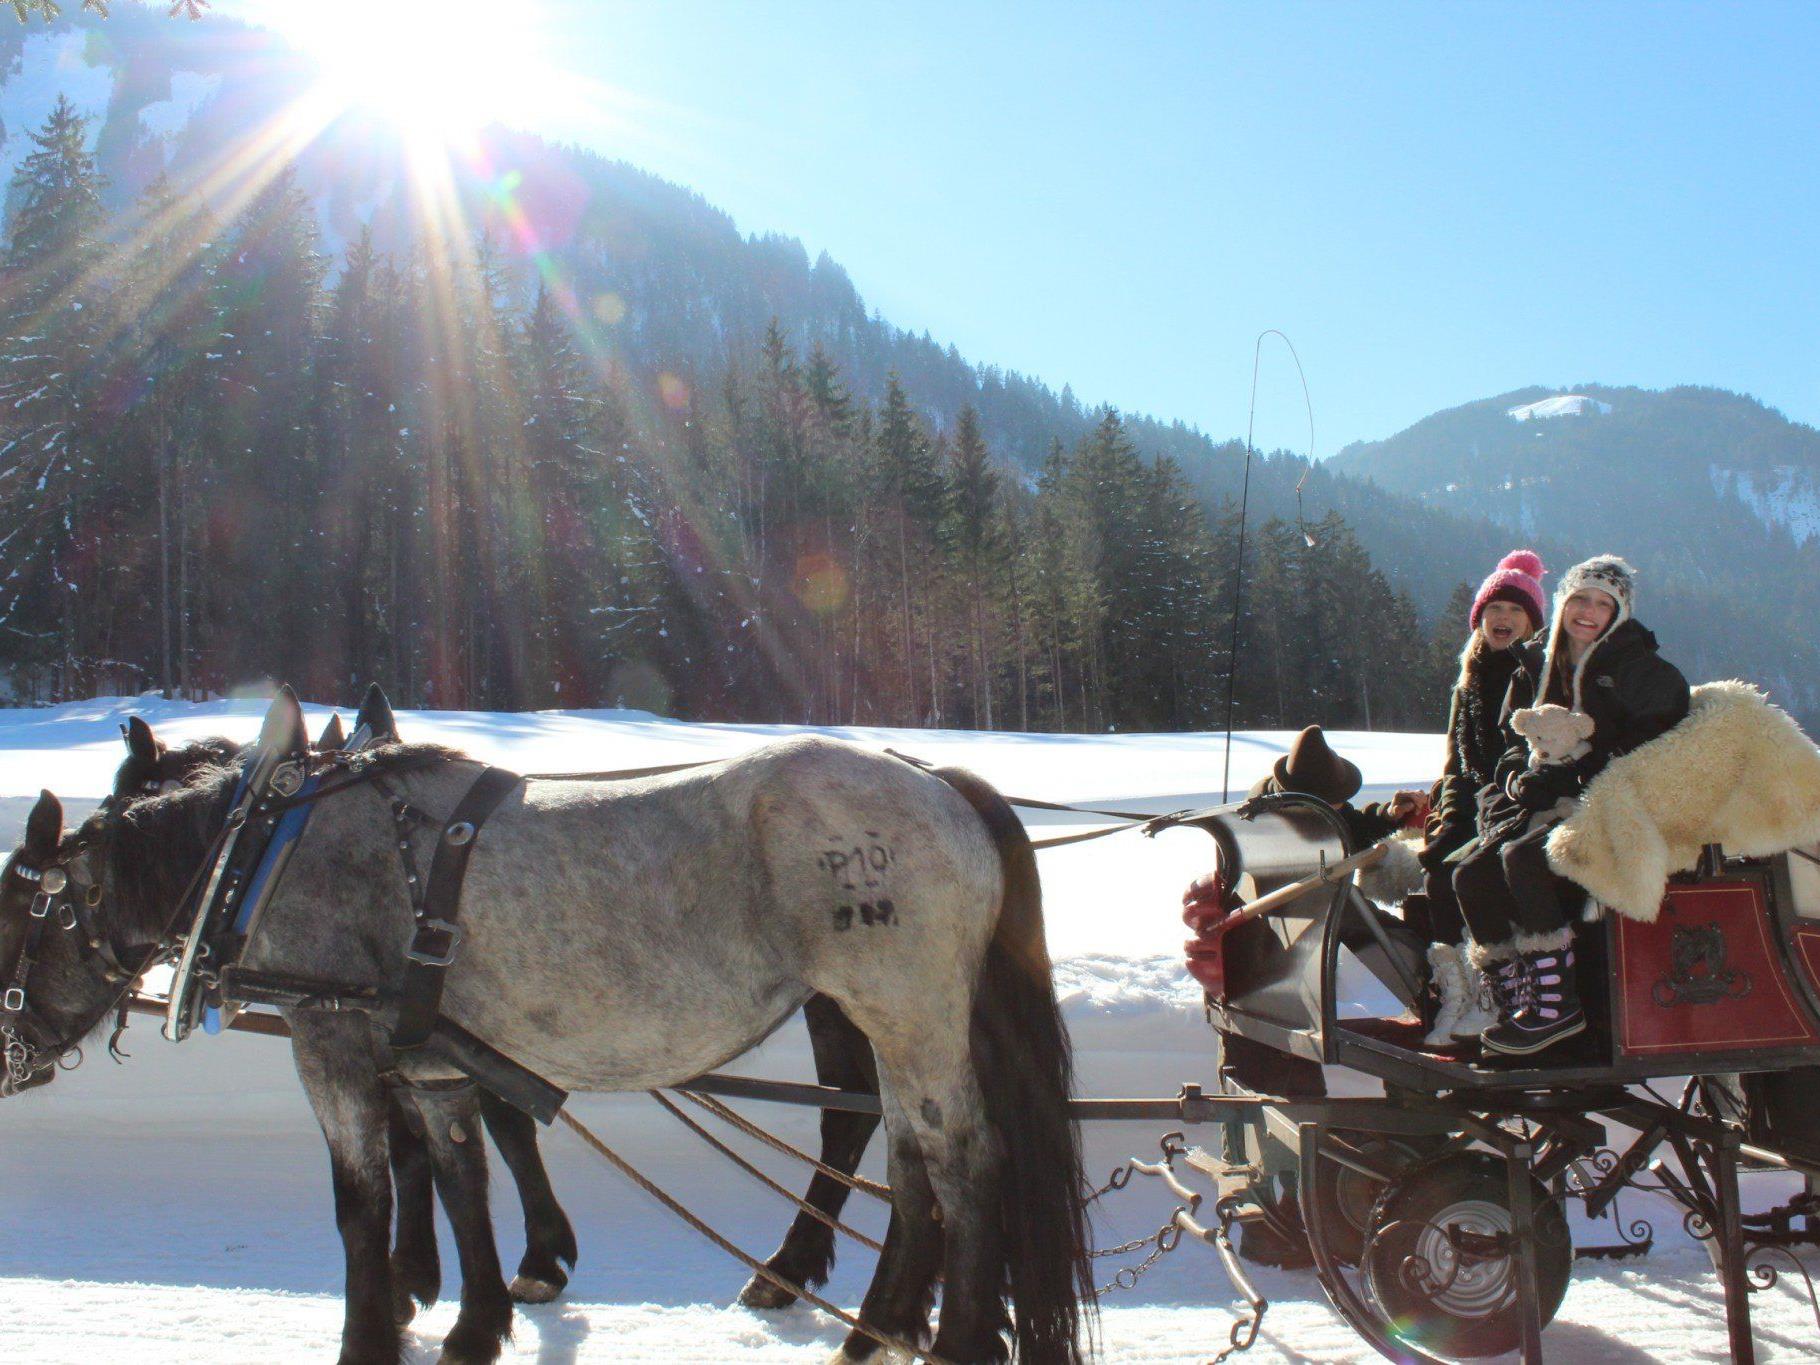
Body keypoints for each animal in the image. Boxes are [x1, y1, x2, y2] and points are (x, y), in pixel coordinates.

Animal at [0, 698, 1084, 1361]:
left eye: (17, 913)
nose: (10, 1062)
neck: (268, 846)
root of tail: (939, 782)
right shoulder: (429, 1055)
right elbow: (461, 1174)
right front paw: (477, 1318)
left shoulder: (332, 1043)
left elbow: (362, 1202)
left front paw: (371, 1332)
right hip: (892, 1018)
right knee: (907, 1159)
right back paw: (873, 1326)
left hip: (905, 1006)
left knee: (959, 1161)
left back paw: (948, 1333)